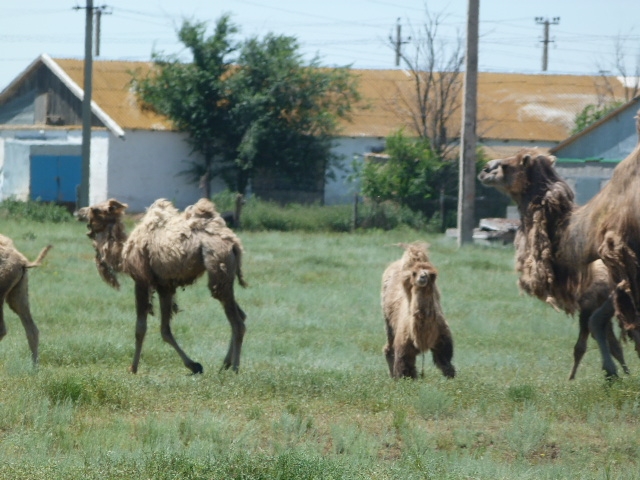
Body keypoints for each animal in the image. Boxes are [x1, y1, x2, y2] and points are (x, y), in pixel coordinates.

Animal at [74, 197, 245, 374]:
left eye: (95, 209)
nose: (78, 212)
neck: (123, 253)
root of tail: (234, 245)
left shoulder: (141, 281)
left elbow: (141, 328)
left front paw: (133, 368)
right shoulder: (165, 287)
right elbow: (165, 330)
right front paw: (194, 365)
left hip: (218, 268)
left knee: (237, 322)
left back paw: (235, 369)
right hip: (225, 279)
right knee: (241, 315)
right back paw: (225, 365)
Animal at [380, 244, 456, 378]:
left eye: (432, 274)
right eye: (414, 273)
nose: (422, 277)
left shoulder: (443, 342)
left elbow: (446, 364)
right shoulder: (404, 346)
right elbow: (405, 368)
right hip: (388, 321)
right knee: (389, 348)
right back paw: (392, 376)